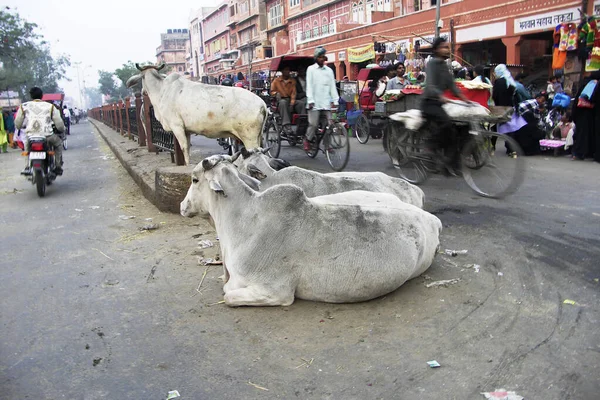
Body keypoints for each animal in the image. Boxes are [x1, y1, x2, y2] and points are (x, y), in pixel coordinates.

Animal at [125, 63, 266, 165]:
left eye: (142, 77)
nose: (142, 91)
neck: (161, 91)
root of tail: (262, 104)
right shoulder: (186, 130)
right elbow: (187, 148)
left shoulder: (177, 127)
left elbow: (184, 149)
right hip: (257, 137)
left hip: (249, 137)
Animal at [179, 155, 440, 308]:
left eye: (194, 179)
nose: (182, 206)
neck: (243, 222)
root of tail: (432, 219)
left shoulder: (275, 291)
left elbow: (228, 294)